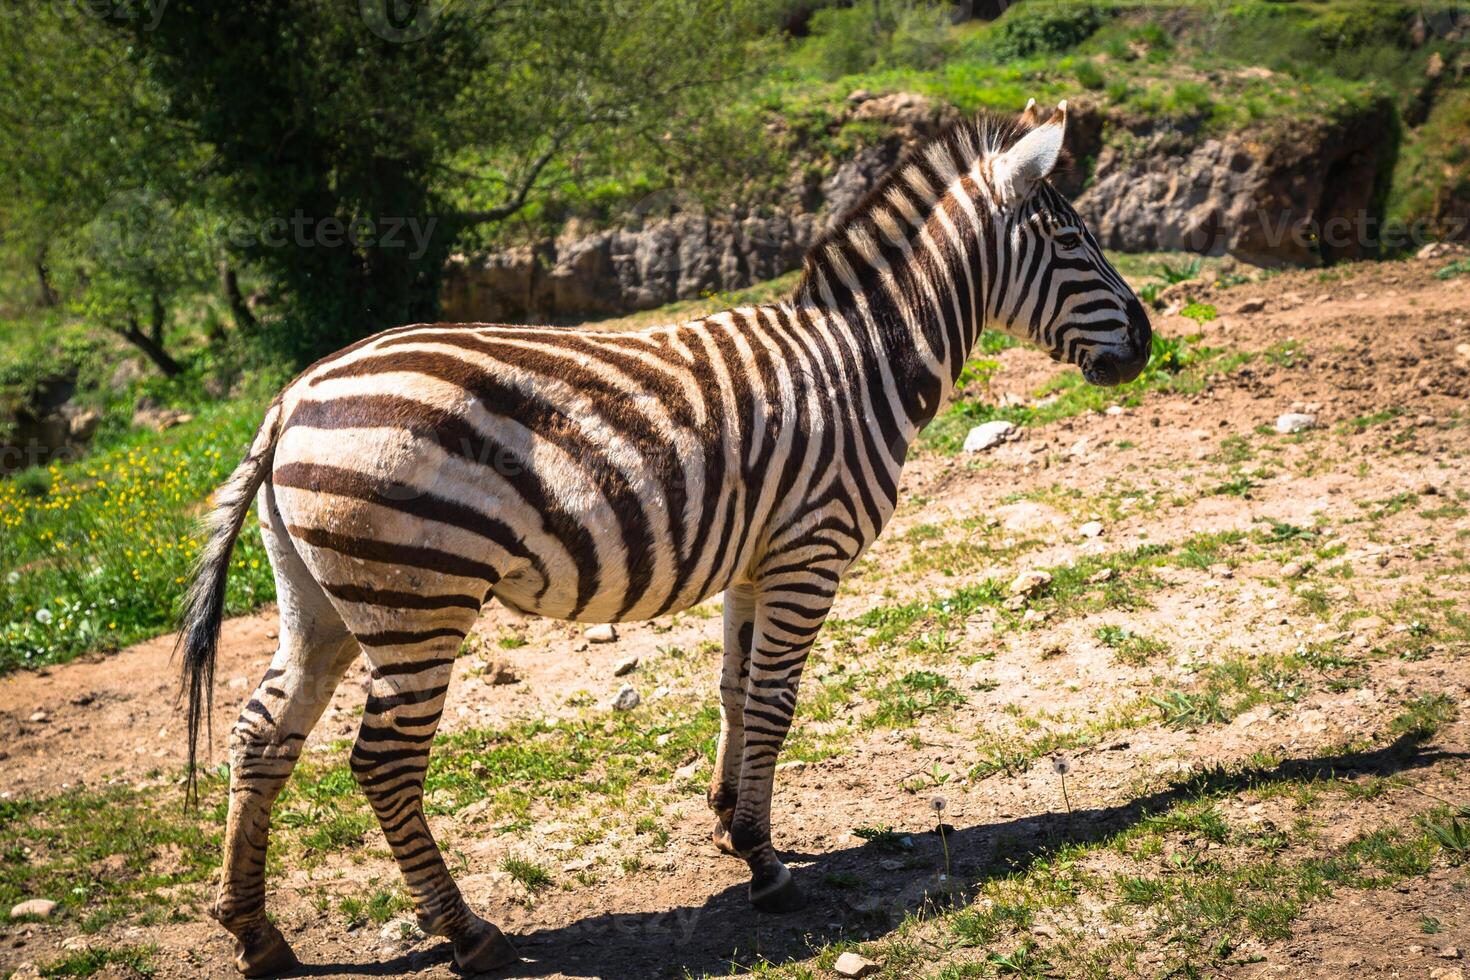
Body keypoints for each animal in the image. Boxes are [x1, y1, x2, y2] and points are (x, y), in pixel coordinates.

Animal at [180, 99, 1146, 975]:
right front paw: (765, 864)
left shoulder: (757, 559)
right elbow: (775, 702)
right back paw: (466, 934)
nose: (1144, 344)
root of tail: (293, 396)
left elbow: (734, 691)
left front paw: (728, 821)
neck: (863, 360)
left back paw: (256, 935)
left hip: (323, 601)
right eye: (1073, 241)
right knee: (382, 760)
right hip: (419, 597)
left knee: (261, 734)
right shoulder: (811, 551)